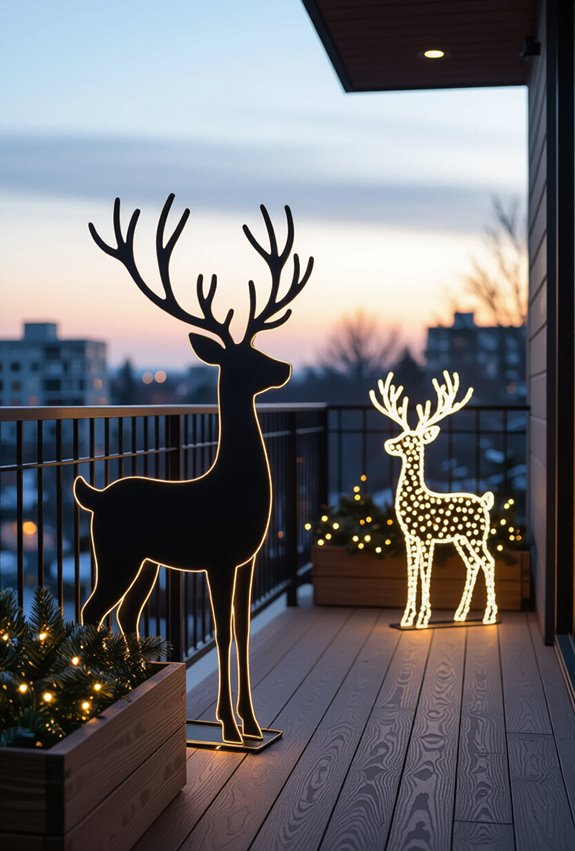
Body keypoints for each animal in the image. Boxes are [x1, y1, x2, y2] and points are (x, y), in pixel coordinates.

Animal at [73, 194, 313, 743]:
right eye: (244, 357)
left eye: (259, 346)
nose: (285, 368)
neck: (232, 486)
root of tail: (94, 495)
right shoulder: (218, 557)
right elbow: (223, 633)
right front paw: (228, 726)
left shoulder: (247, 558)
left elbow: (243, 631)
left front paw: (253, 724)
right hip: (114, 552)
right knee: (93, 609)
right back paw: (100, 688)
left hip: (145, 562)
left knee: (127, 614)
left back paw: (130, 676)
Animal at [370, 371, 498, 629]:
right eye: (402, 435)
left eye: (411, 440)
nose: (389, 444)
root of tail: (485, 501)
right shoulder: (409, 537)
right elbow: (411, 573)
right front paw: (407, 618)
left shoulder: (426, 537)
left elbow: (426, 573)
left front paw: (423, 618)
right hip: (461, 538)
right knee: (473, 563)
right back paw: (460, 614)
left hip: (477, 534)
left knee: (488, 562)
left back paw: (489, 616)